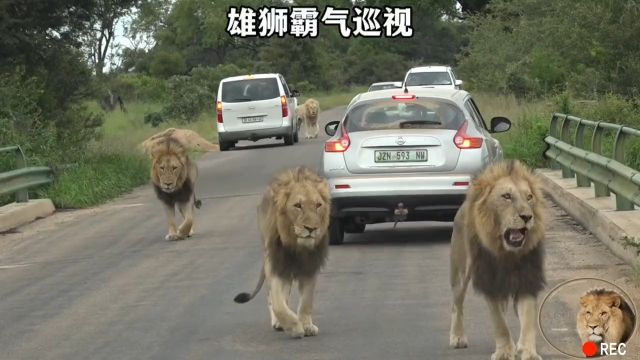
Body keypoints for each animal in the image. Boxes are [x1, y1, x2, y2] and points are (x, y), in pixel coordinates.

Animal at [234, 166, 330, 338]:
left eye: (318, 205)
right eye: (298, 205)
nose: (311, 229)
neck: (298, 247)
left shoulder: (310, 267)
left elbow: (306, 301)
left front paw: (307, 325)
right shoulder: (277, 266)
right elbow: (278, 303)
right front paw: (294, 327)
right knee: (271, 296)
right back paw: (278, 323)